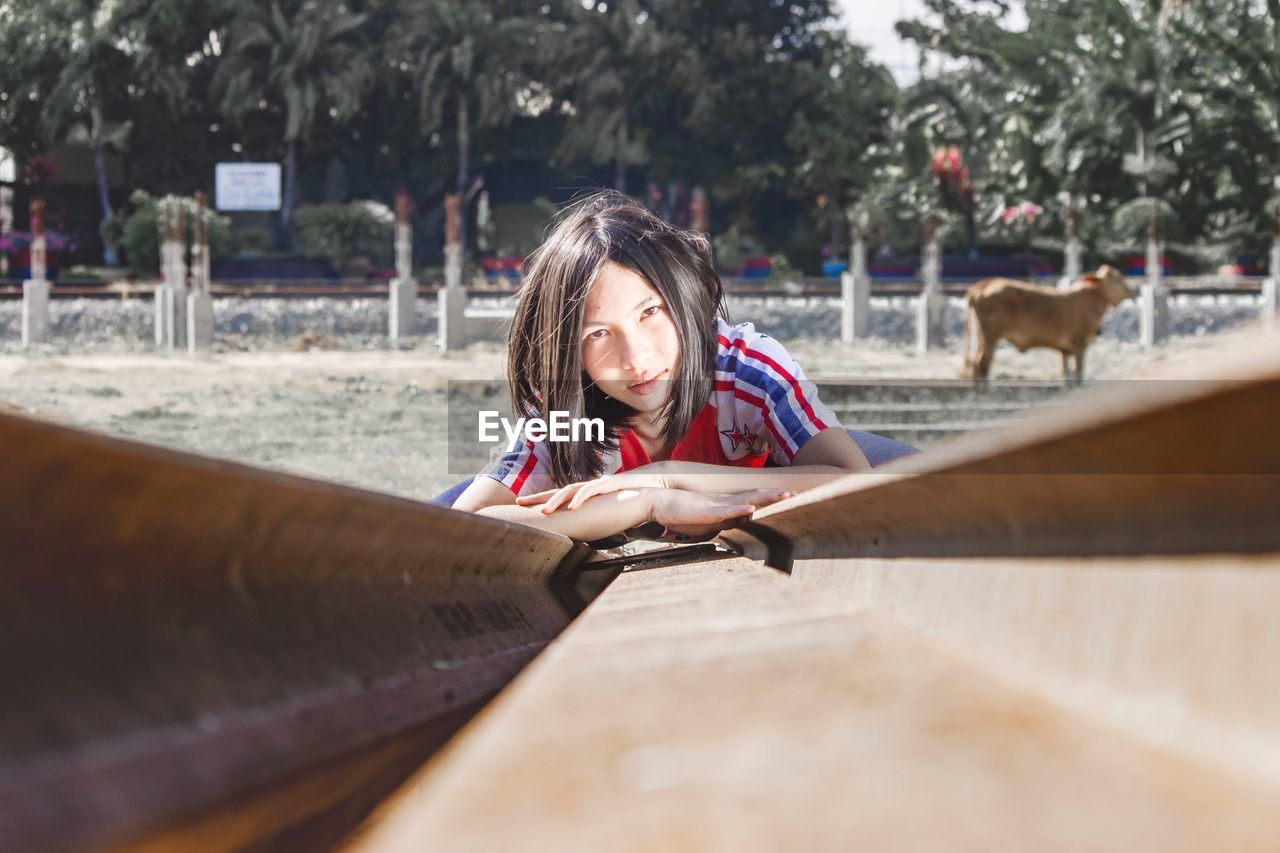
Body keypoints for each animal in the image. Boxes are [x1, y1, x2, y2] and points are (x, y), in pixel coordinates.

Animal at [962, 266, 1136, 381]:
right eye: (1116, 279)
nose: (1133, 292)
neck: (1093, 299)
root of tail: (981, 285)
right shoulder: (1079, 343)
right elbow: (1078, 374)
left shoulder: (1064, 349)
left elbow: (1066, 375)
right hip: (989, 337)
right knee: (980, 364)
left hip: (979, 338)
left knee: (974, 363)